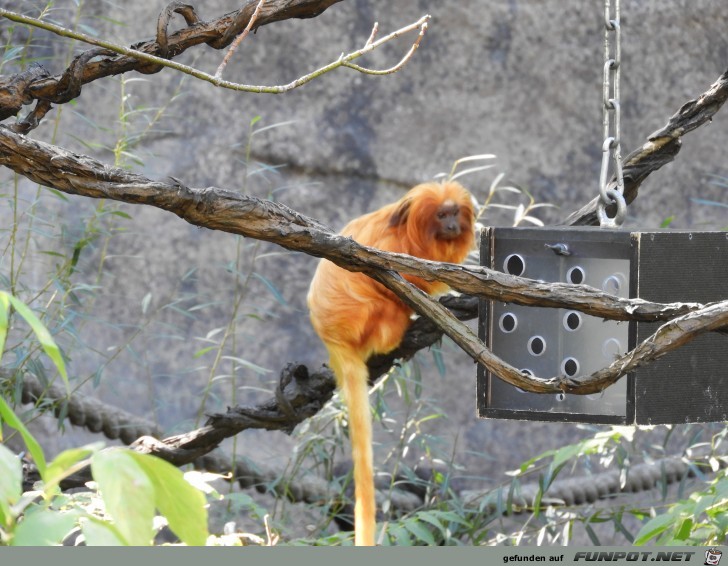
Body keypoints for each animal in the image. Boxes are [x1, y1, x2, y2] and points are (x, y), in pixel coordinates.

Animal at [308, 181, 474, 544]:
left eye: (455, 213)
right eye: (442, 215)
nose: (453, 226)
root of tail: (333, 338)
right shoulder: (390, 248)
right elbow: (391, 277)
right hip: (370, 319)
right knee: (391, 302)